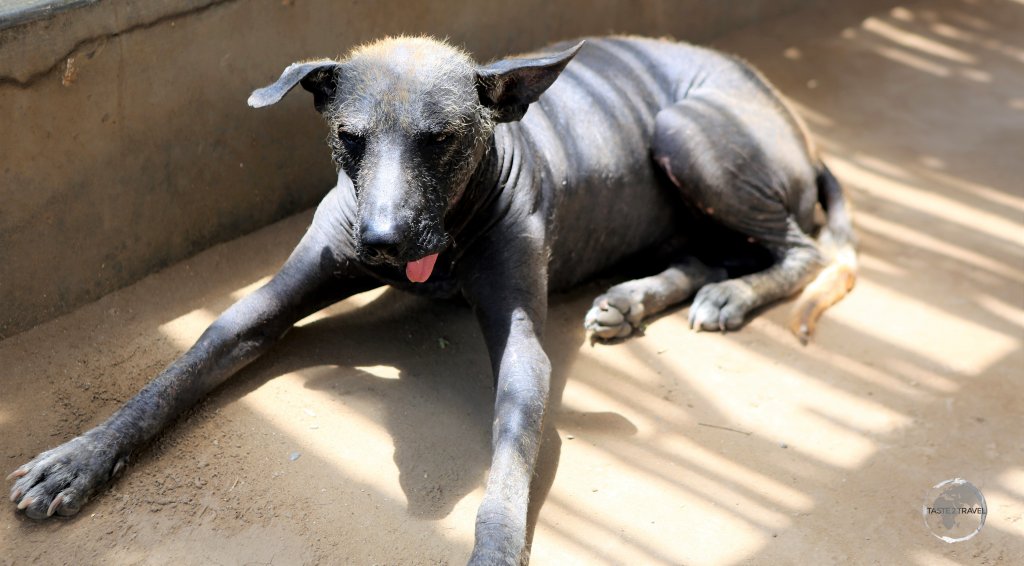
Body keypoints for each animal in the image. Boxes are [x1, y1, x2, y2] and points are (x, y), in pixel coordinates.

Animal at [9, 36, 856, 564]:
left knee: (799, 251)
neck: (440, 239)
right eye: (349, 138)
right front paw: (78, 458)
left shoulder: (523, 349)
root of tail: (791, 114)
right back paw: (639, 296)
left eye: (440, 140)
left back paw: (729, 297)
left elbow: (509, 457)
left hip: (684, 131)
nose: (381, 238)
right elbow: (175, 374)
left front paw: (495, 546)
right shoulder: (262, 306)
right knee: (710, 250)